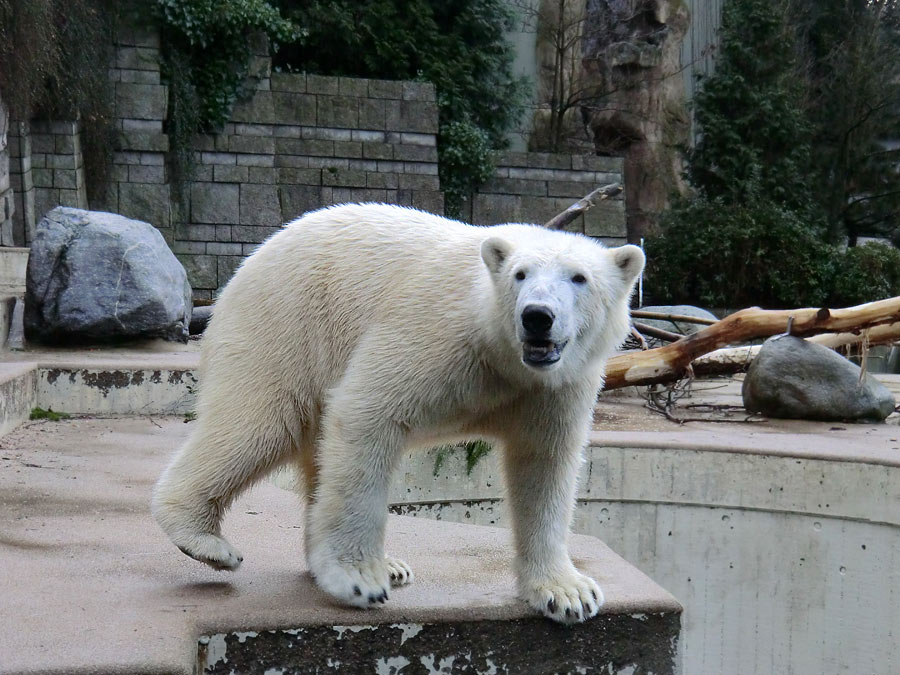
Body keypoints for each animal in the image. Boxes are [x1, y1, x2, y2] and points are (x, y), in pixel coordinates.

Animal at [156, 202, 648, 624]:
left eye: (579, 278)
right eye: (520, 274)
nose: (537, 317)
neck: (501, 355)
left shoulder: (555, 387)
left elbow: (544, 464)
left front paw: (568, 593)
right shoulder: (437, 335)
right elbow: (367, 412)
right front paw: (358, 580)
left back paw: (384, 564)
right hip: (285, 324)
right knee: (259, 423)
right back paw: (205, 541)